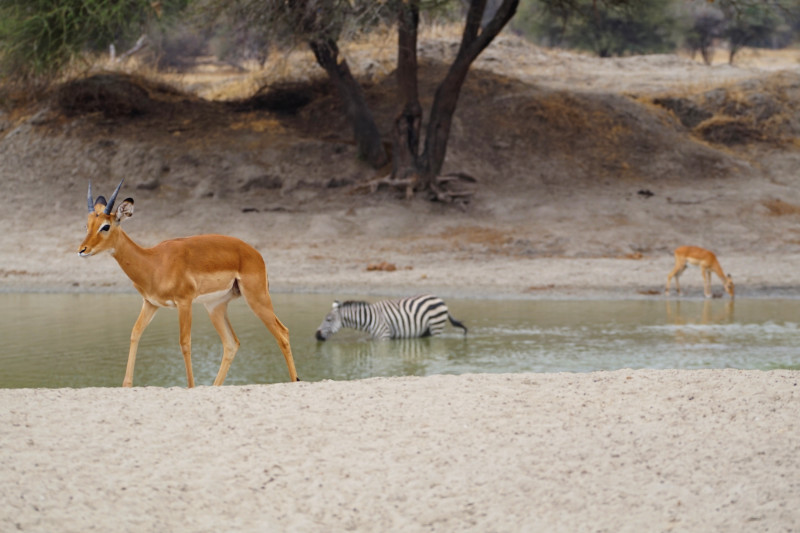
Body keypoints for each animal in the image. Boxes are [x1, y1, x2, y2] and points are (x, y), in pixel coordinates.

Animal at [315, 295, 467, 341]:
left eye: (328, 320)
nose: (317, 335)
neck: (369, 318)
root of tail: (440, 299)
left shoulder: (384, 336)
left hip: (436, 327)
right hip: (427, 330)